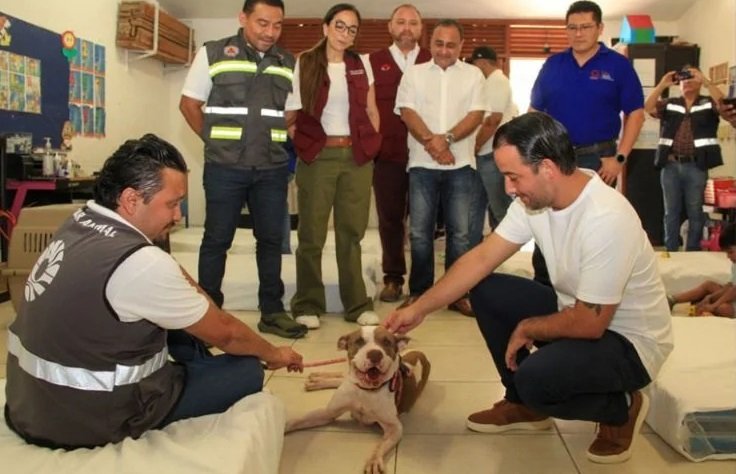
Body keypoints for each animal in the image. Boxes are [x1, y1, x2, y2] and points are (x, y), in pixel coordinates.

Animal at [284, 326, 428, 474]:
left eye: (386, 342)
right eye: (359, 341)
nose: (375, 354)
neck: (365, 390)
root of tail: (418, 352)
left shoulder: (394, 427)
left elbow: (380, 445)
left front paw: (374, 460)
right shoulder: (329, 413)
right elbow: (299, 420)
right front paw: (284, 427)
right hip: (346, 379)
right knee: (341, 376)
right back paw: (317, 379)